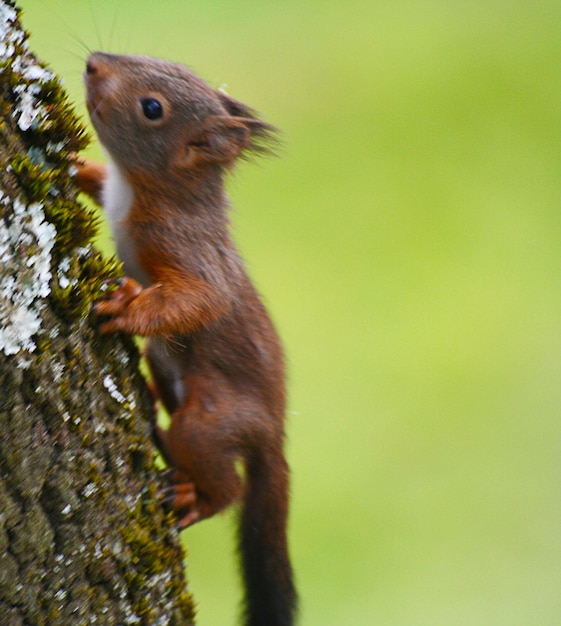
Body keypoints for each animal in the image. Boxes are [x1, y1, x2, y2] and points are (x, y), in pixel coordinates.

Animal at [76, 52, 300, 624]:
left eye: (152, 109)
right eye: (163, 61)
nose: (93, 64)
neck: (141, 187)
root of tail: (273, 432)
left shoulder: (187, 247)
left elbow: (202, 299)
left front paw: (128, 308)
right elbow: (96, 179)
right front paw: (73, 162)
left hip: (212, 420)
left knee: (227, 480)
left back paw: (197, 498)